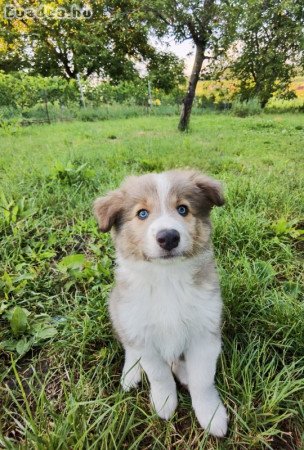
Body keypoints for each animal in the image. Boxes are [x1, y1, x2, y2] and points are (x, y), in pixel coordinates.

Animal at [94, 169, 227, 436]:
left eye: (183, 209)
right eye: (142, 213)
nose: (168, 237)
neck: (168, 278)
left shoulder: (205, 334)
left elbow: (203, 380)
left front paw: (211, 415)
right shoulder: (143, 336)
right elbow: (159, 375)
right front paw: (165, 403)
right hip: (118, 311)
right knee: (130, 349)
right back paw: (130, 374)